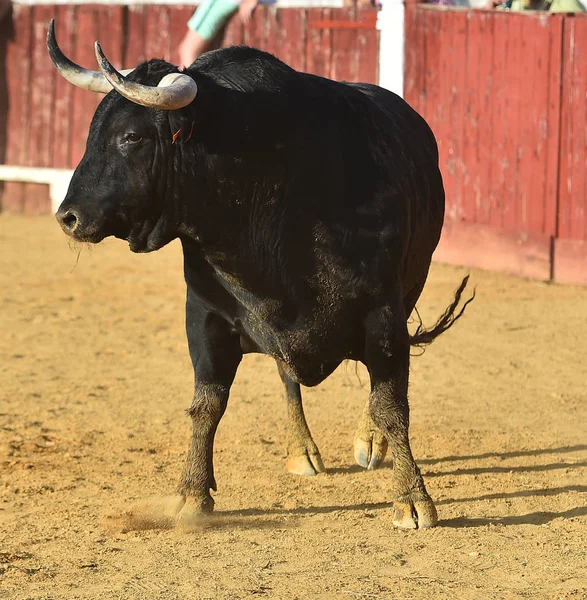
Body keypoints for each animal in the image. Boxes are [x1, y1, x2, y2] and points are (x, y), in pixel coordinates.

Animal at [49, 24, 474, 528]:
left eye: (130, 136)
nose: (68, 216)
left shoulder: (383, 313)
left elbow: (391, 403)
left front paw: (411, 498)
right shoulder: (205, 314)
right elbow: (207, 405)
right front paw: (191, 494)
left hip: (409, 292)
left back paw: (369, 442)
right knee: (287, 377)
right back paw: (301, 451)